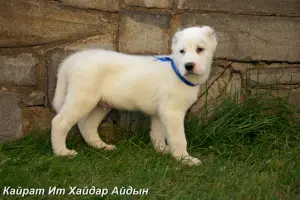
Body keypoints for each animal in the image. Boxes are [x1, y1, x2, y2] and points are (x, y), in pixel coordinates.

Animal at [50, 25, 217, 166]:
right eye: (182, 51)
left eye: (200, 49)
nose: (189, 65)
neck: (177, 70)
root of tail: (76, 57)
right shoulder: (172, 112)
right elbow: (178, 138)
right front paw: (184, 159)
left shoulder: (161, 112)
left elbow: (158, 133)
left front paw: (162, 151)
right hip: (82, 98)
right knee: (59, 122)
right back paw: (62, 153)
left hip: (101, 104)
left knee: (86, 125)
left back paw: (102, 146)